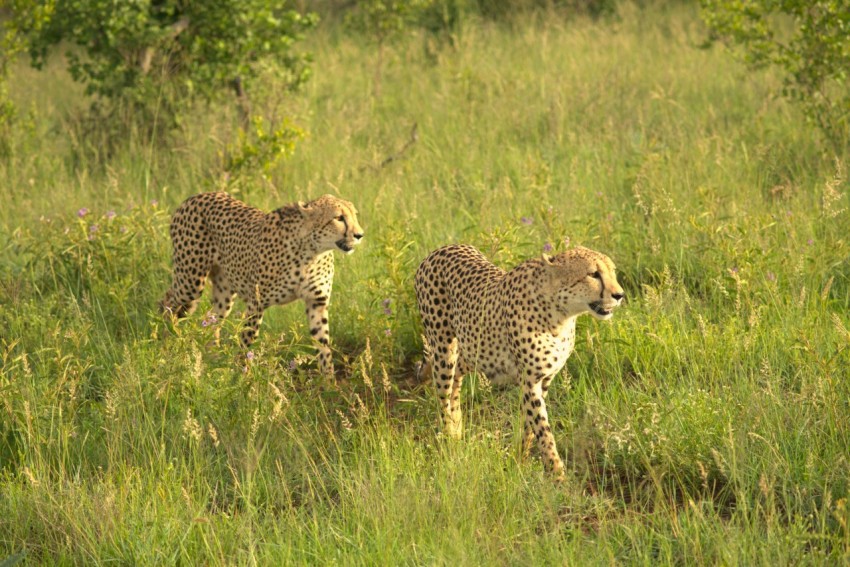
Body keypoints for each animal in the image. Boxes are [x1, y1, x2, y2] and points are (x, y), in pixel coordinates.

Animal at [157, 193, 362, 374]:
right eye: (339, 218)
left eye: (354, 215)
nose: (360, 235)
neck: (312, 252)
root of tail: (194, 197)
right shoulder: (257, 304)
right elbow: (246, 341)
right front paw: (241, 377)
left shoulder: (316, 303)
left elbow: (323, 346)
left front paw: (329, 382)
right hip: (191, 282)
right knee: (167, 301)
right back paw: (164, 343)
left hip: (223, 291)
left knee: (211, 318)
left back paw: (212, 356)